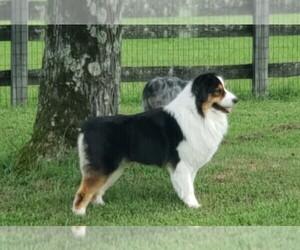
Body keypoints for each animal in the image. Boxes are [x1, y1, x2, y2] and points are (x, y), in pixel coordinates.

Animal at [72, 72, 237, 215]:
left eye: (225, 88)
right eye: (218, 91)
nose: (236, 100)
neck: (198, 112)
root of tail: (86, 126)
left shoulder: (189, 163)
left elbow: (187, 184)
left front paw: (184, 201)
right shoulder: (182, 163)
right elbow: (189, 187)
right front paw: (194, 205)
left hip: (114, 167)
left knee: (96, 191)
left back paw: (100, 205)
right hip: (103, 165)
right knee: (83, 191)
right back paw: (79, 214)